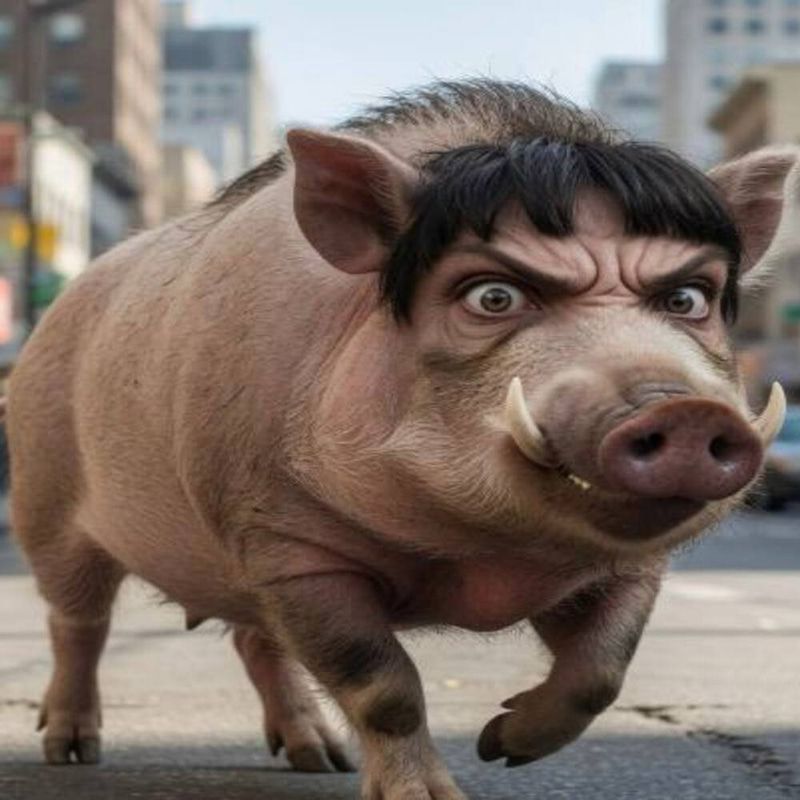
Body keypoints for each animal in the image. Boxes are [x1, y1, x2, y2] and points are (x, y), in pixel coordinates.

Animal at [7, 79, 797, 799]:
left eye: (687, 299)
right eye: (493, 297)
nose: (687, 410)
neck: (480, 555)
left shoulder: (634, 567)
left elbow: (602, 671)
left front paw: (500, 745)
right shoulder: (291, 545)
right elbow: (383, 683)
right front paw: (436, 794)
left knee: (256, 641)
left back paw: (319, 760)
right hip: (45, 499)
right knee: (78, 622)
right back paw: (71, 752)